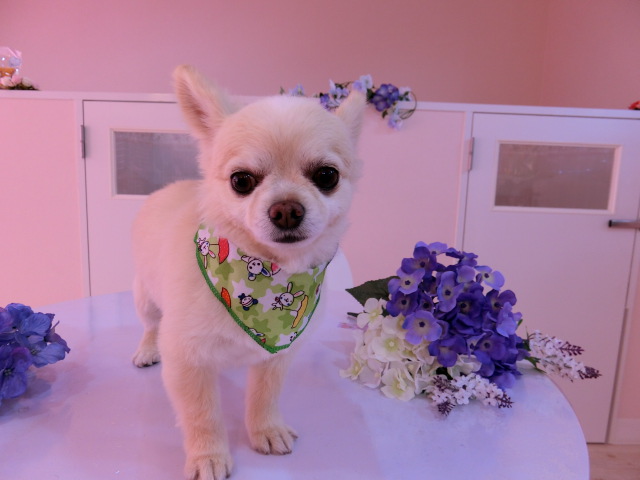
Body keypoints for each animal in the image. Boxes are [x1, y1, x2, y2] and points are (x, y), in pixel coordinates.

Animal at [131, 65, 366, 479]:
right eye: (241, 181)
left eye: (327, 176)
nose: (286, 209)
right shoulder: (187, 361)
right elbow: (202, 414)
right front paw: (208, 456)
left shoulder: (277, 355)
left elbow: (264, 396)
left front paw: (265, 430)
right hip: (144, 296)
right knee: (150, 324)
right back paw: (146, 348)